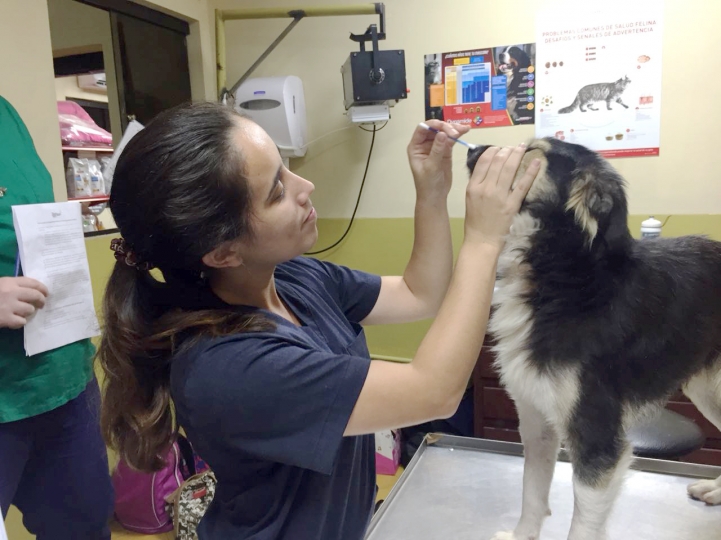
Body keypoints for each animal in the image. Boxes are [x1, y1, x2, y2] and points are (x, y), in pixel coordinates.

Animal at [466, 140, 720, 540]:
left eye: (532, 149)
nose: (472, 147)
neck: (566, 277)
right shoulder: (536, 420)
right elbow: (531, 494)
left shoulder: (597, 442)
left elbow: (582, 525)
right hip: (707, 390)